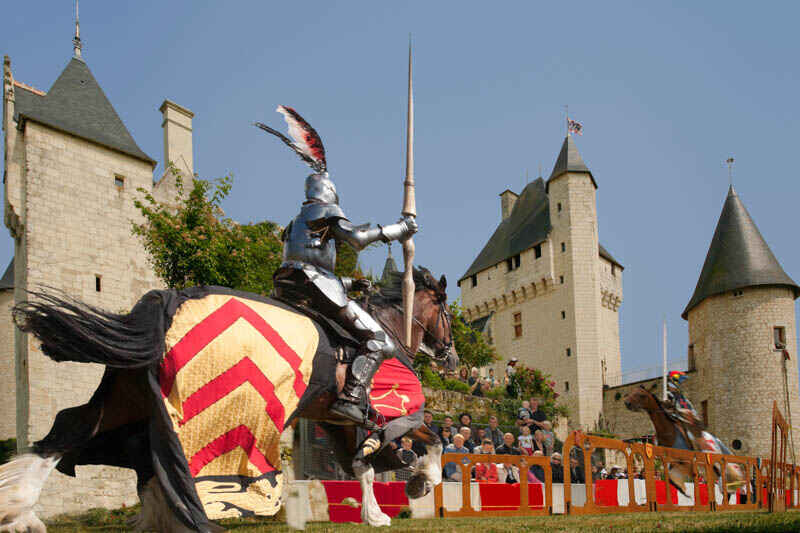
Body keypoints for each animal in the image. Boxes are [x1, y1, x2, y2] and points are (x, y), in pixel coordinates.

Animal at [0, 268, 456, 528]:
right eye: (447, 313)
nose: (450, 357)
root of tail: (165, 303)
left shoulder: (339, 419)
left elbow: (361, 465)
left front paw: (376, 512)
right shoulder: (388, 413)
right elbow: (431, 439)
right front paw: (421, 481)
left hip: (127, 398)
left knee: (71, 429)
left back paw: (20, 512)